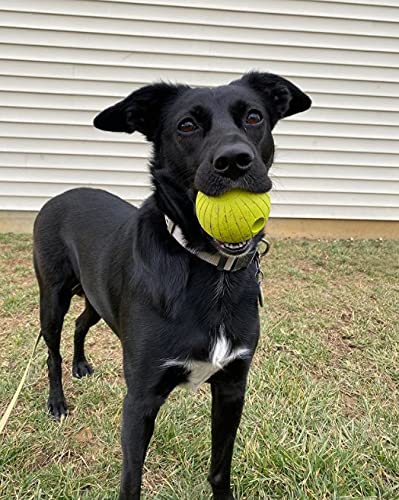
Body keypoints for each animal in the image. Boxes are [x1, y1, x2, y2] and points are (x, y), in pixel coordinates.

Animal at [32, 71, 310, 500]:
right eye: (187, 125)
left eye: (253, 117)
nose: (235, 161)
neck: (211, 269)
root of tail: (60, 195)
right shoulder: (141, 400)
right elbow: (131, 483)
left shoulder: (232, 387)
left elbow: (220, 469)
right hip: (53, 298)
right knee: (53, 350)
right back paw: (57, 401)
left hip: (96, 299)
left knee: (81, 324)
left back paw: (81, 364)